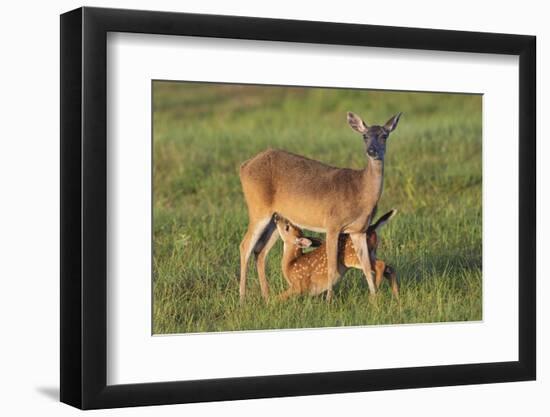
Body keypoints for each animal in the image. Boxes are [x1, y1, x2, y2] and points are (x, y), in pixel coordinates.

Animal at [239, 109, 404, 300]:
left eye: (384, 135)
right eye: (364, 136)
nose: (371, 150)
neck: (360, 192)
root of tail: (243, 167)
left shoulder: (359, 230)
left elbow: (365, 266)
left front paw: (374, 299)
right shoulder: (332, 224)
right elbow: (332, 268)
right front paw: (328, 301)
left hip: (276, 218)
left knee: (260, 251)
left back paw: (266, 297)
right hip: (258, 209)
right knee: (245, 246)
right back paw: (242, 298)